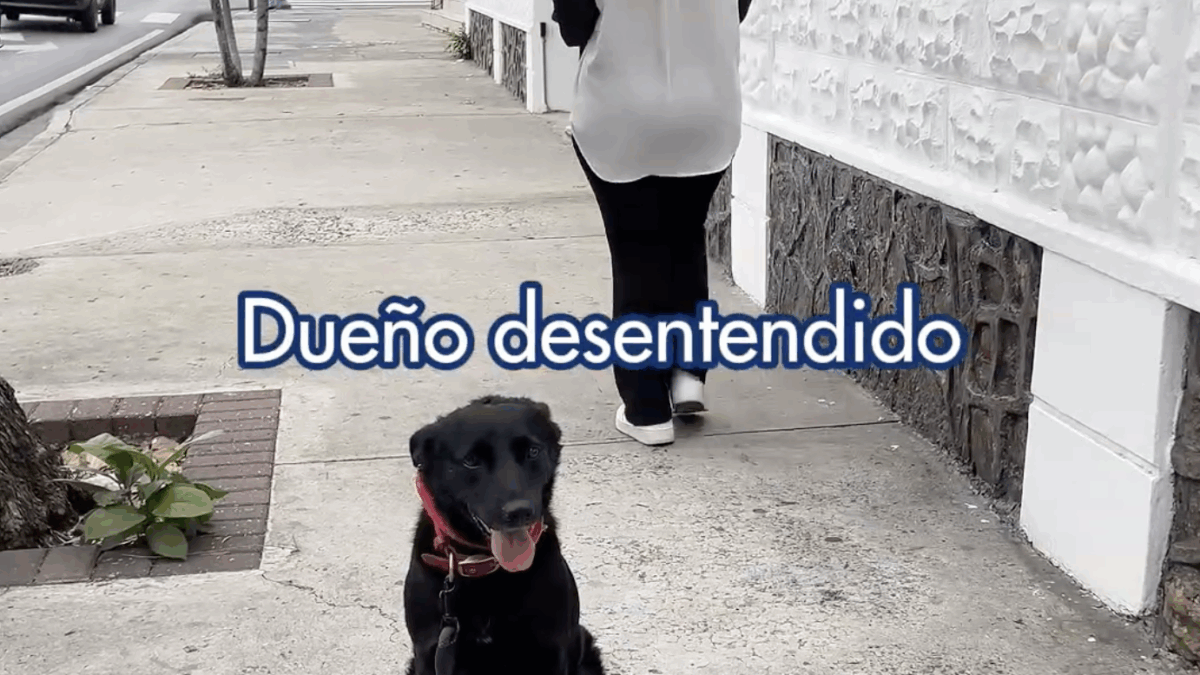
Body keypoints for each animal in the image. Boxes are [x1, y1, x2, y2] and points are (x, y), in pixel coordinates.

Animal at [403, 395, 606, 675]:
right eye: (471, 460)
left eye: (533, 451)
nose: (519, 511)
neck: (486, 568)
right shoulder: (429, 652)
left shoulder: (551, 650)